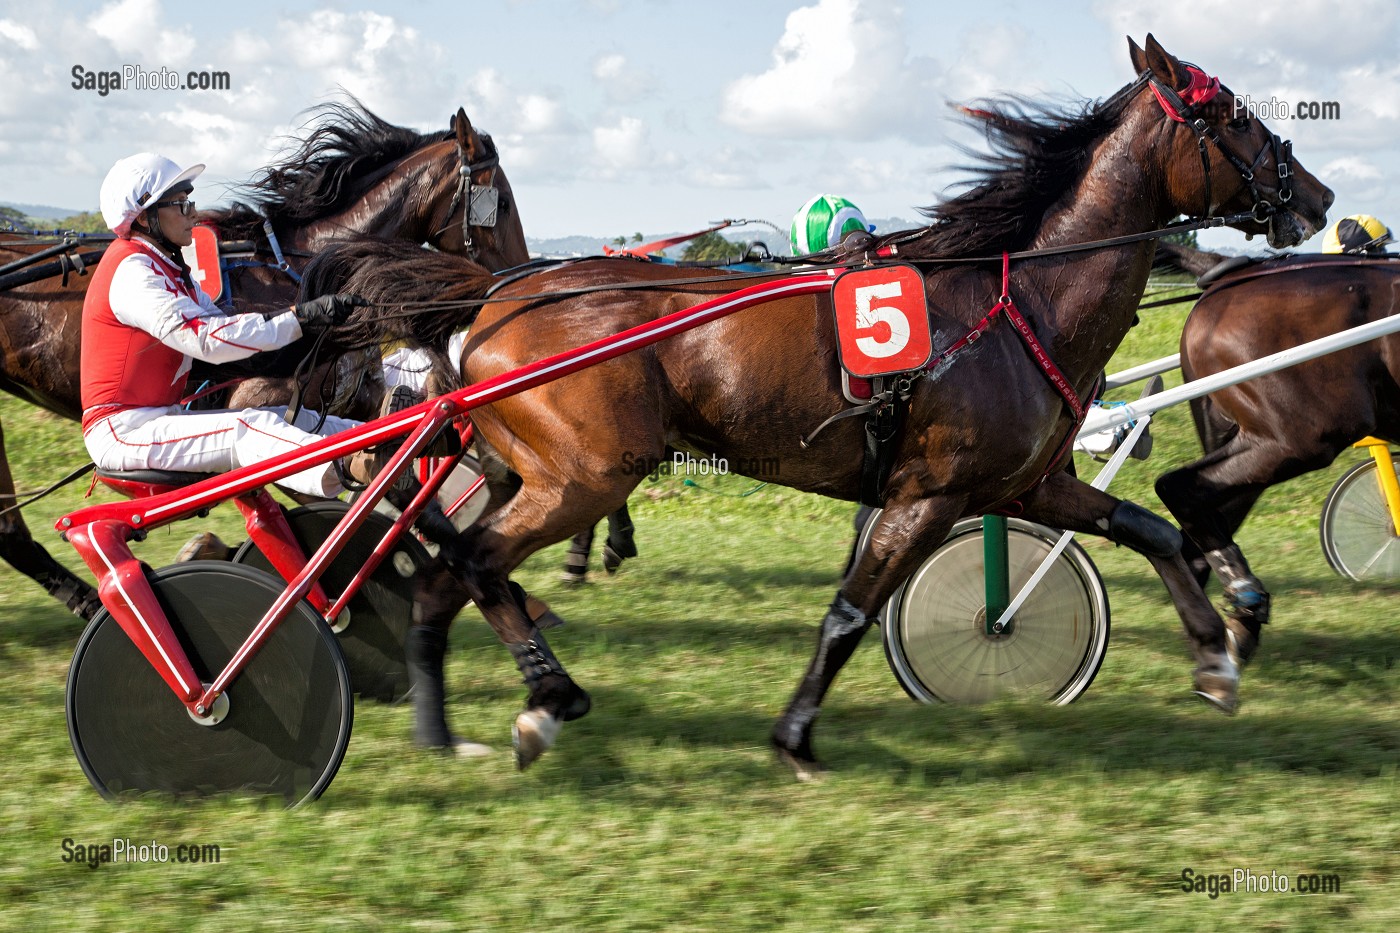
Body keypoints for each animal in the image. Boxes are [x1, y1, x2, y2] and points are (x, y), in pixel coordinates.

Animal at [0, 100, 526, 616]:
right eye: (500, 201)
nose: (518, 276)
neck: (297, 267)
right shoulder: (251, 398)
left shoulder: (351, 394)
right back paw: (92, 600)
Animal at [301, 36, 1327, 773]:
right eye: (1233, 114)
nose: (1314, 196)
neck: (1017, 298)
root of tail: (499, 293)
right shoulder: (927, 493)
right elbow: (847, 614)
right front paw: (795, 735)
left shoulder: (1024, 484)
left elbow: (1152, 531)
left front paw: (1217, 658)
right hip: (582, 476)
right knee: (475, 559)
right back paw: (547, 703)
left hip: (539, 473)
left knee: (444, 577)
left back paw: (448, 727)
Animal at [1148, 239, 1400, 661]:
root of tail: (1231, 275)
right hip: (1305, 437)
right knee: (1177, 488)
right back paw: (1244, 603)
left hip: (1254, 442)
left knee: (1194, 534)